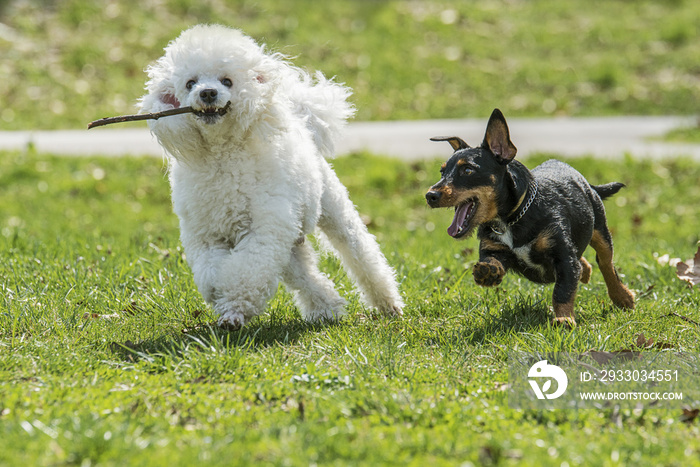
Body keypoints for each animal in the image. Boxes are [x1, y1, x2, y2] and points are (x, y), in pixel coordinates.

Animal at [424, 109, 636, 326]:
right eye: (442, 171)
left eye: (467, 170)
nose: (430, 195)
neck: (510, 219)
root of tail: (588, 184)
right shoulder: (493, 248)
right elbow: (493, 261)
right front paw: (488, 273)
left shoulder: (564, 256)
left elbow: (562, 290)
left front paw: (563, 319)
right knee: (586, 262)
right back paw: (586, 272)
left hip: (600, 229)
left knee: (606, 263)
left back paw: (623, 297)